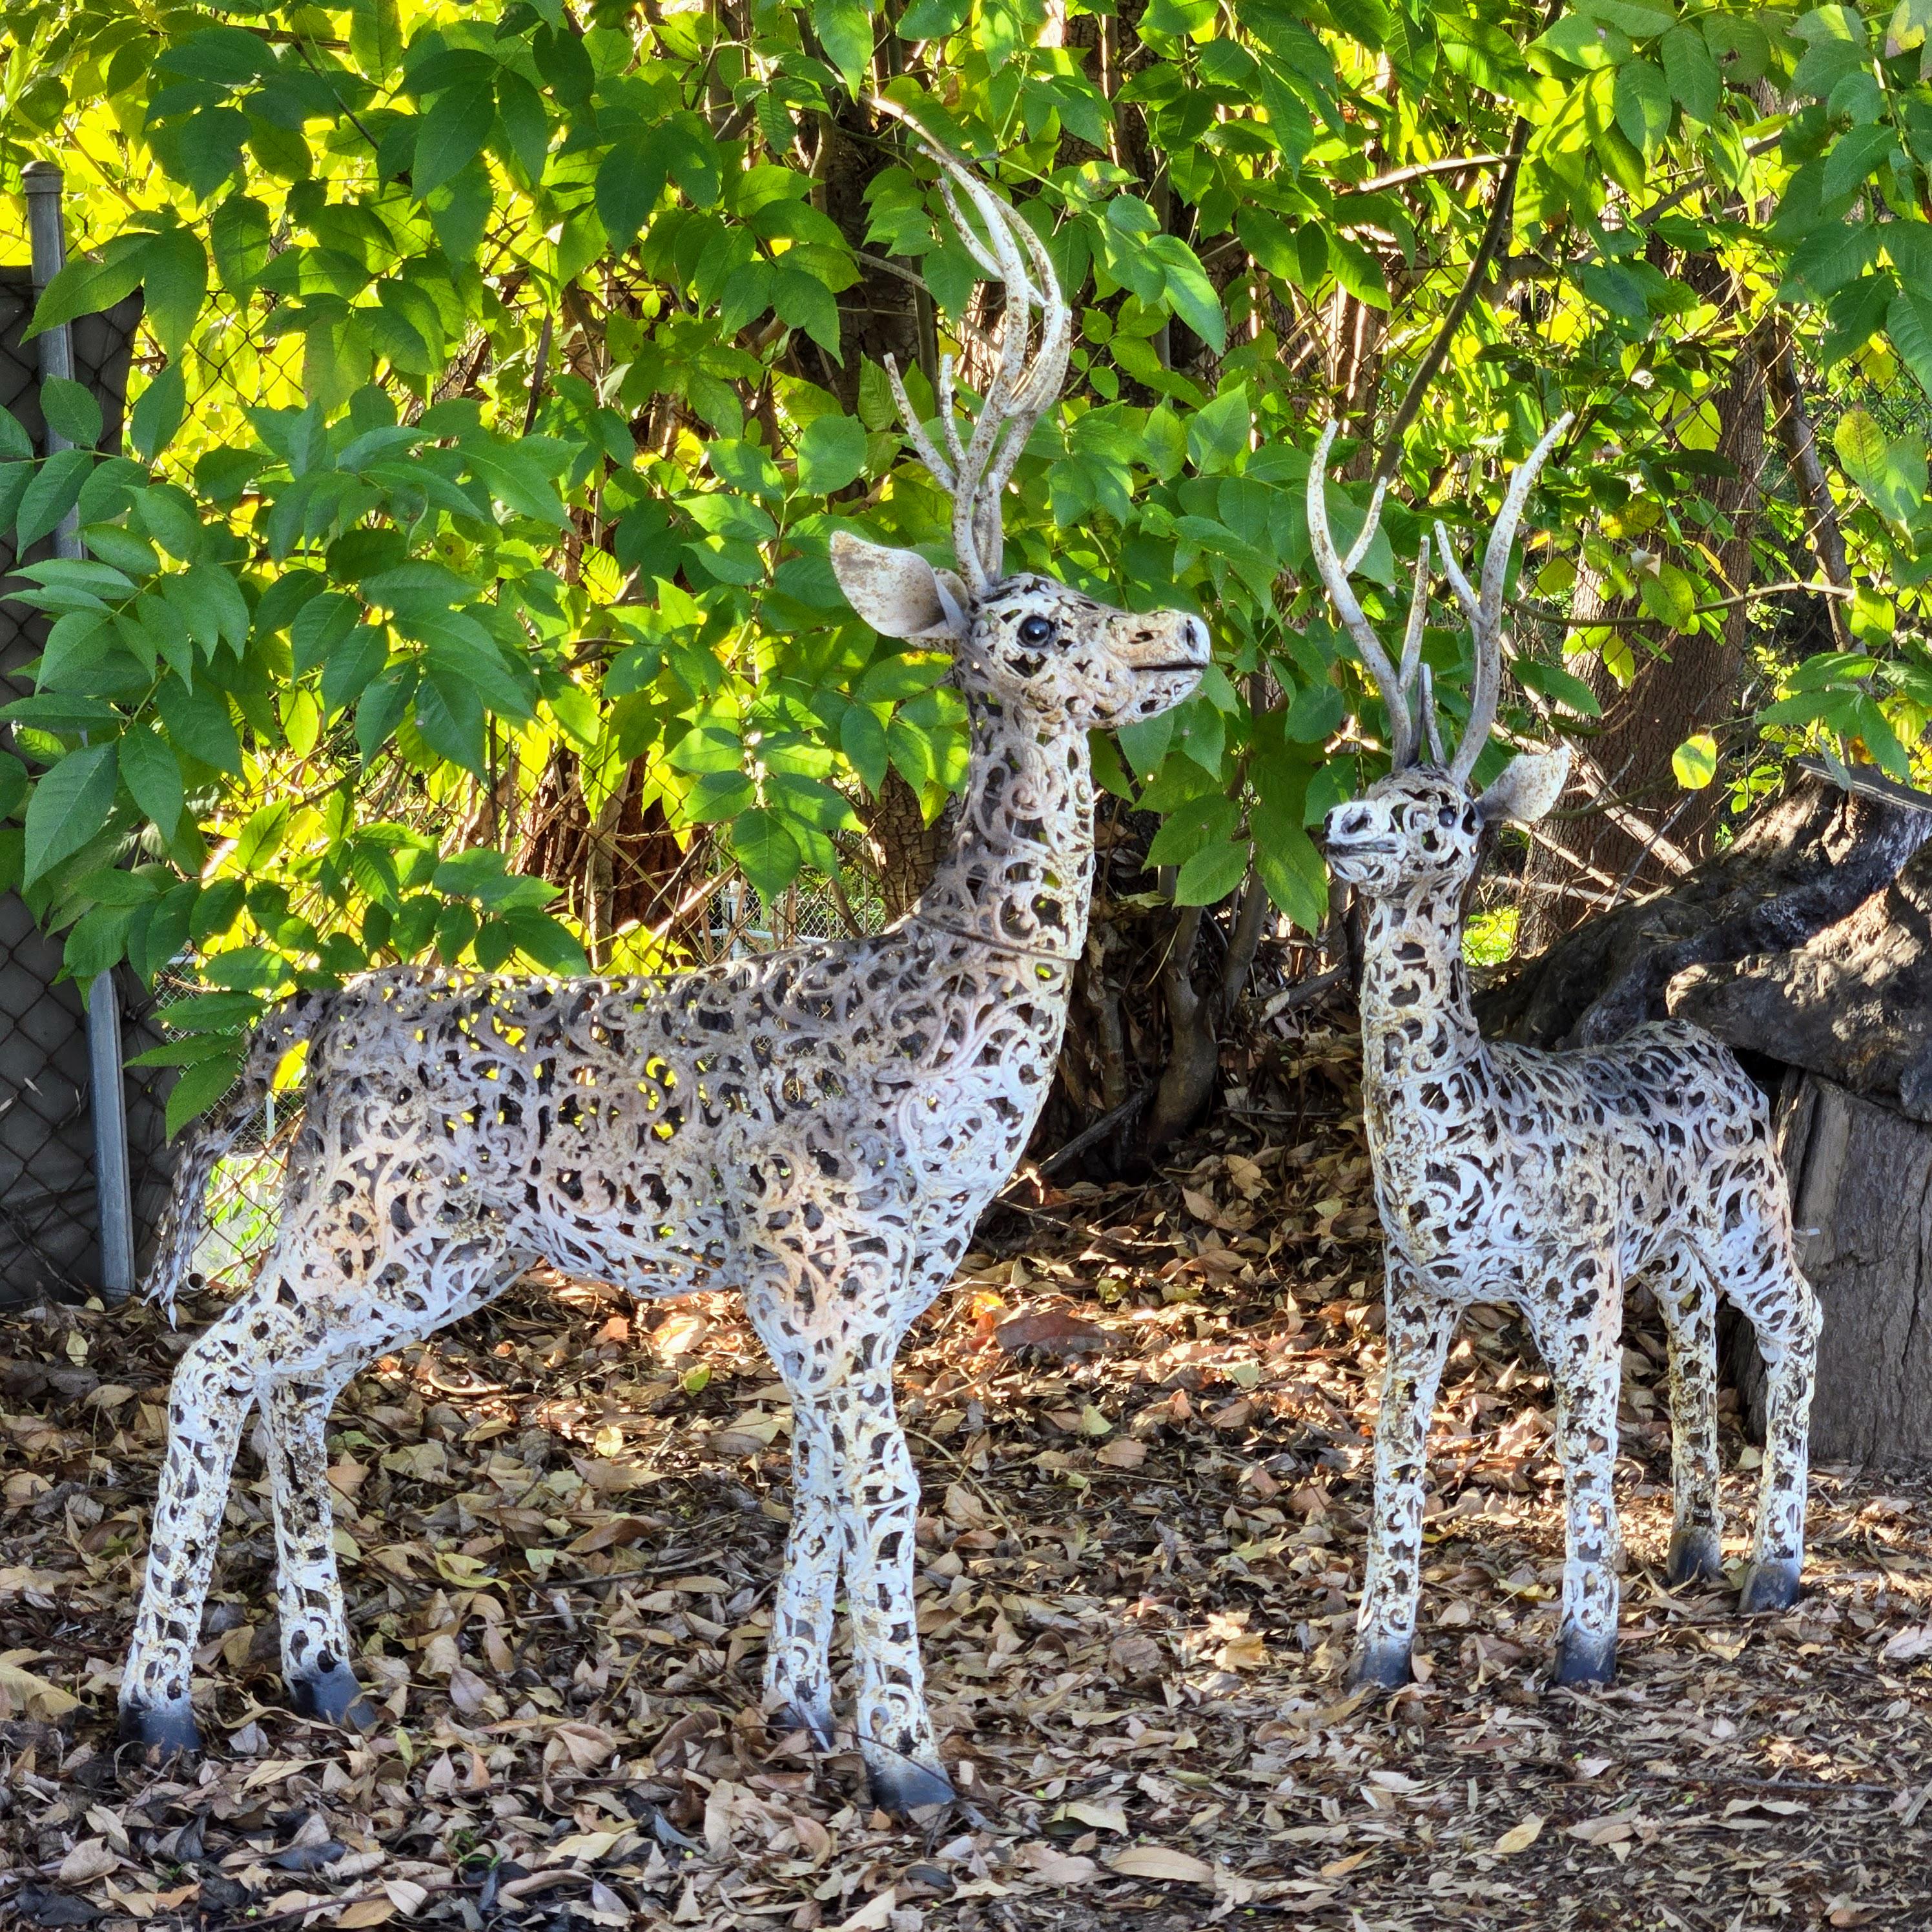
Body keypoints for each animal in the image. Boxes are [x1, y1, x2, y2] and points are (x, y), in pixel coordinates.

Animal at [117, 129, 1209, 1810]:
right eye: (1036, 626)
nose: (1182, 634)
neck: (933, 1047)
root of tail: (334, 1004)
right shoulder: (823, 1274)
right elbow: (887, 1482)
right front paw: (912, 1764)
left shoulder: (870, 1290)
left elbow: (827, 1478)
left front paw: (802, 1706)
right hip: (372, 1223)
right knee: (213, 1366)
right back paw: (157, 1704)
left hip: (425, 1243)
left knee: (291, 1382)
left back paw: (323, 1672)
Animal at [1308, 418, 1819, 1689]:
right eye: (1372, 784)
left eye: (1446, 810)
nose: (1336, 825)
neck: (1463, 1136)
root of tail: (1721, 1053)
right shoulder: (1416, 1286)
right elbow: (1395, 1446)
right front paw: (1378, 1650)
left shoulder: (1573, 1283)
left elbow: (1585, 1443)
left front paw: (1584, 1643)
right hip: (1675, 1247)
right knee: (1694, 1333)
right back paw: (1694, 1546)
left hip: (1747, 1216)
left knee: (1797, 1319)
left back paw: (1771, 1571)